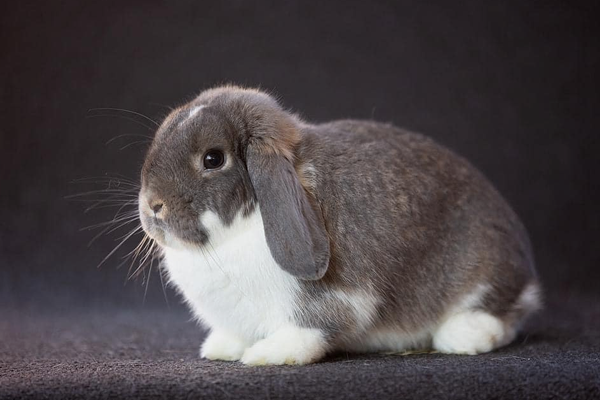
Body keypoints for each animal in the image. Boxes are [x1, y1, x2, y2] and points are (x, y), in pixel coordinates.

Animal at [138, 85, 540, 366]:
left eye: (213, 159)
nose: (152, 205)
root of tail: (528, 272)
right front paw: (222, 348)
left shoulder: (336, 301)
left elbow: (312, 329)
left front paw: (269, 354)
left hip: (483, 270)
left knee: (501, 314)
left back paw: (463, 336)